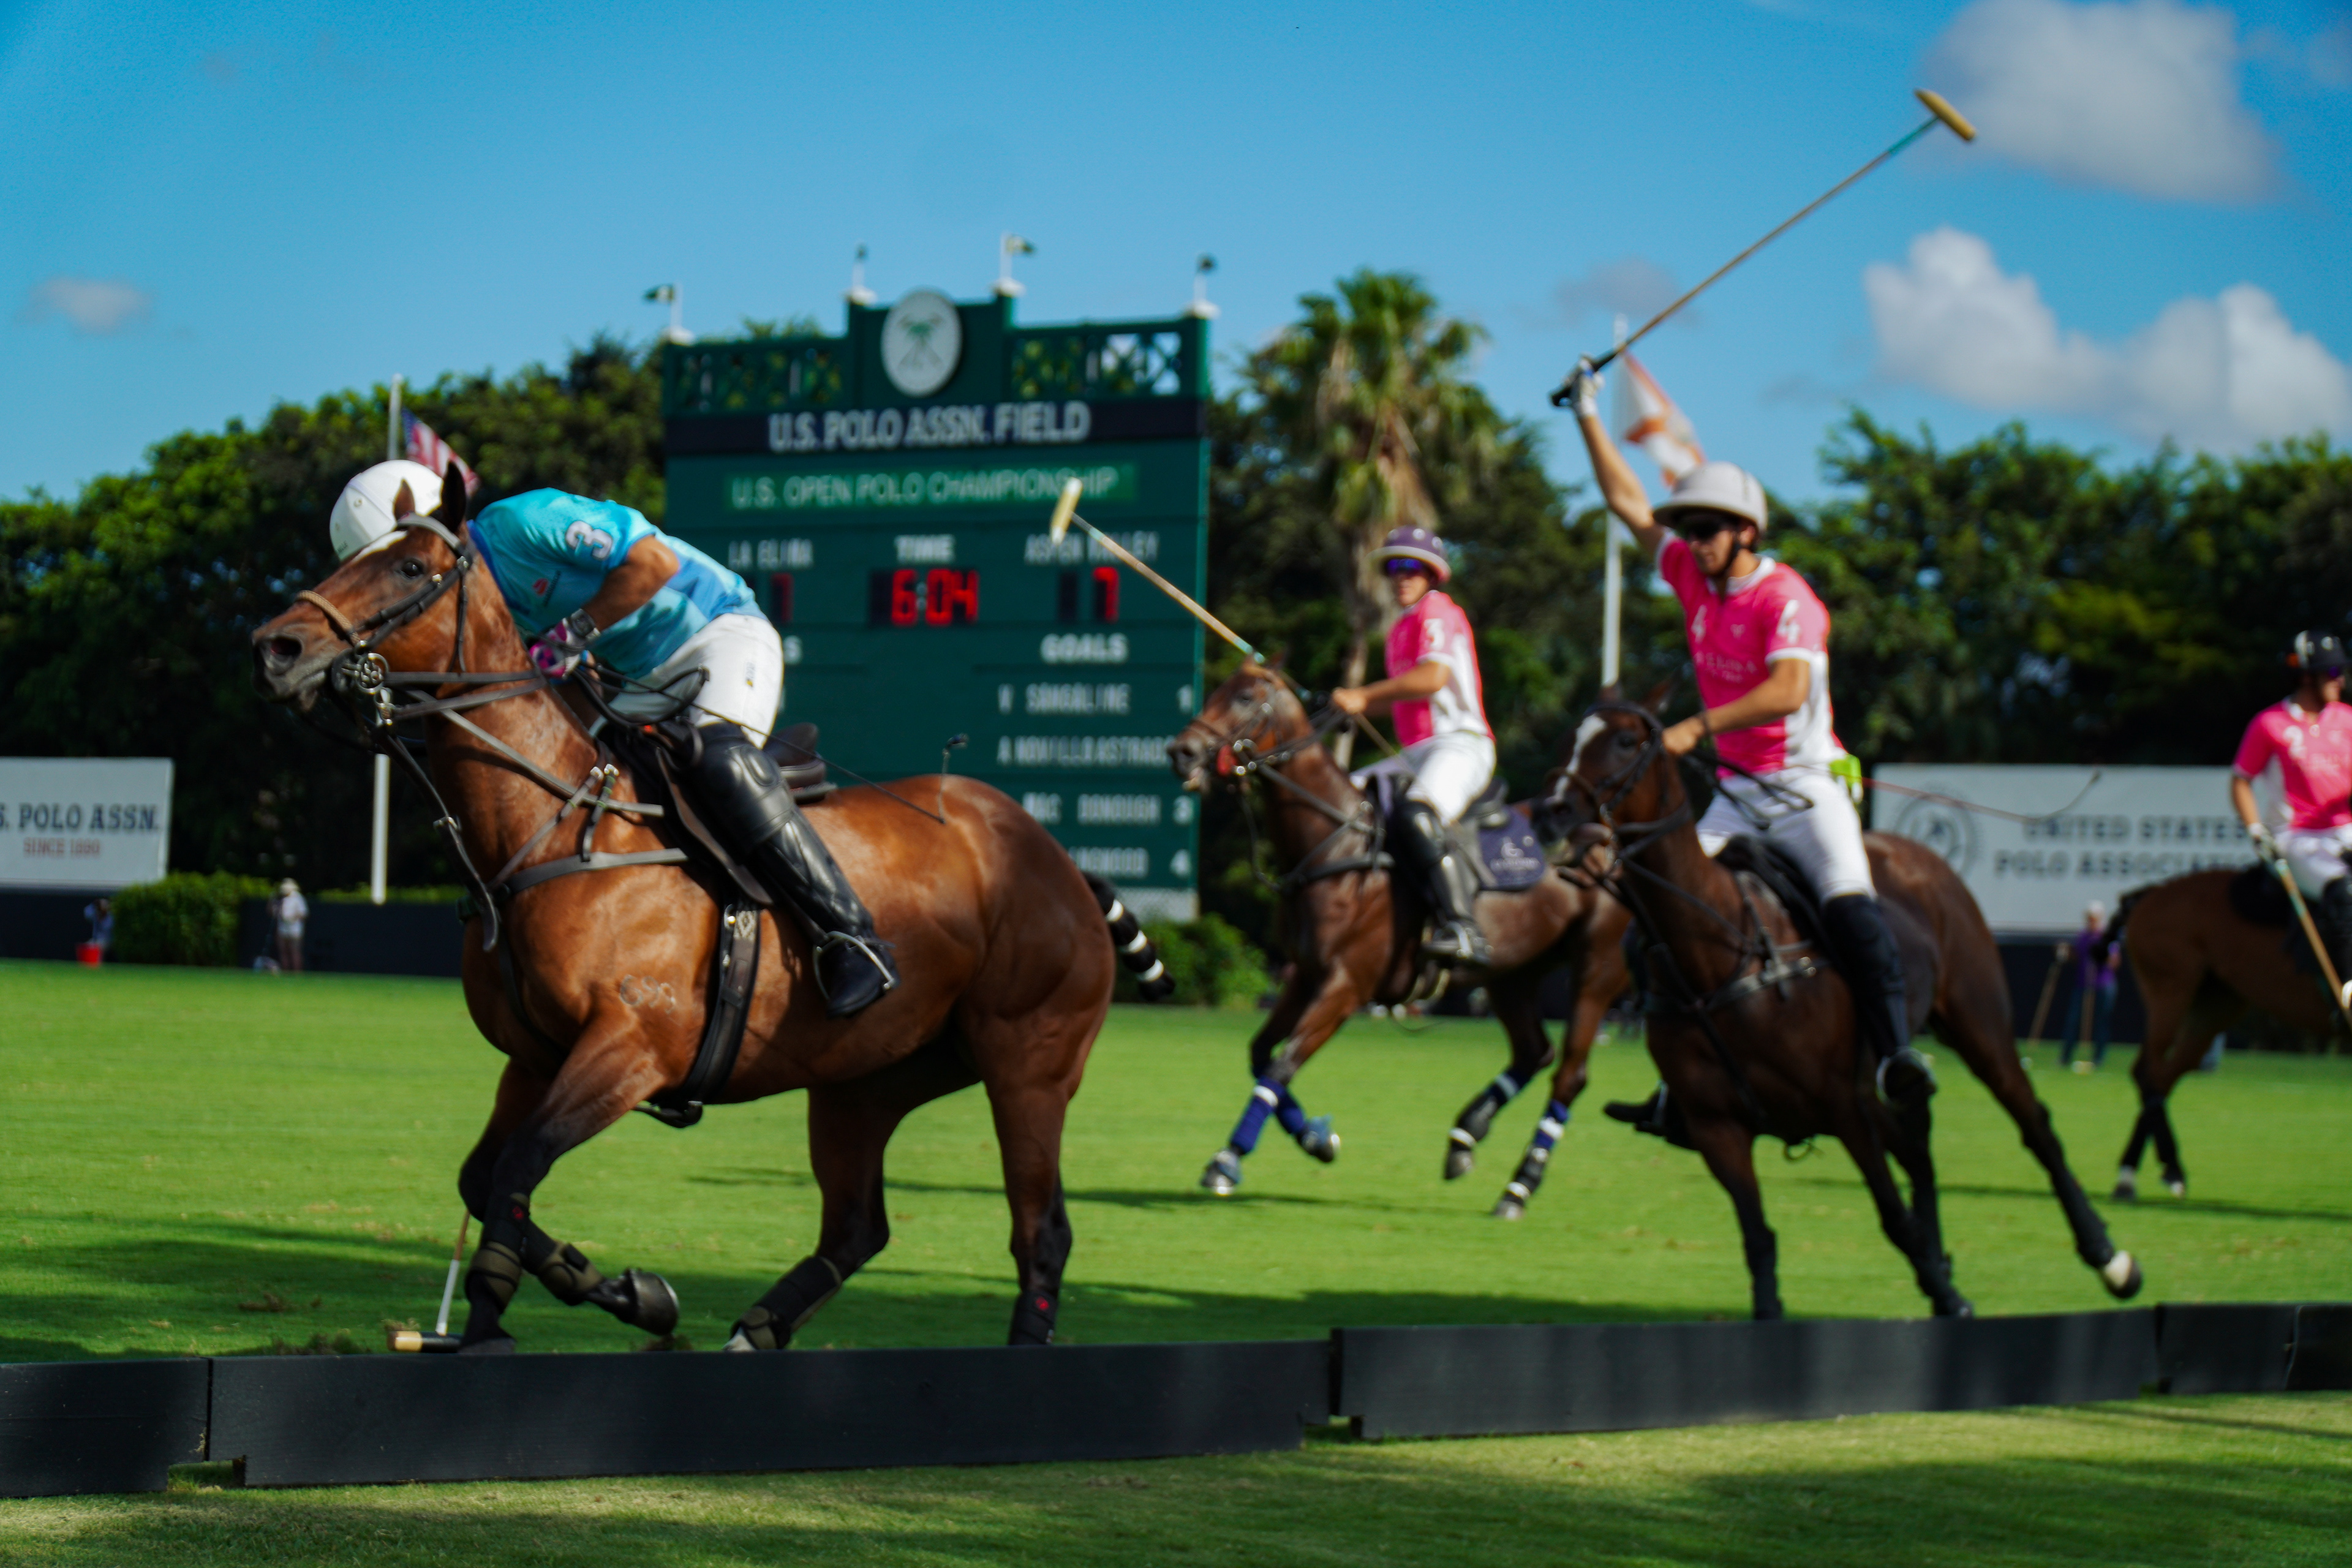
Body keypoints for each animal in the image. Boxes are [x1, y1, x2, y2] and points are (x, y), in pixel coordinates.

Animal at [250, 483, 1159, 1352]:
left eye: (408, 568)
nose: (276, 646)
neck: (555, 825)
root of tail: (1056, 855)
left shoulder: (632, 1049)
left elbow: (514, 1171)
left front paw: (494, 1324)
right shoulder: (536, 1058)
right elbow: (486, 1179)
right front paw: (632, 1294)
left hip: (1029, 1061)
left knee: (1041, 1230)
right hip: (867, 1081)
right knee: (858, 1226)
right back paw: (754, 1331)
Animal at [1166, 664, 1632, 1210]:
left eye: (1243, 697)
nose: (1181, 751)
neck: (1335, 846)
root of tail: (1611, 836)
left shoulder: (1347, 984)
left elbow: (1283, 1064)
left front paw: (1227, 1160)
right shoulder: (1305, 974)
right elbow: (1262, 1055)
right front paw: (1316, 1139)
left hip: (1597, 967)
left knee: (1570, 1074)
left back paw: (1520, 1186)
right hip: (1511, 971)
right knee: (1534, 1051)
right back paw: (1465, 1137)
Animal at [1542, 698, 2142, 1318]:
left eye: (1625, 742)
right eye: (1568, 739)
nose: (1553, 813)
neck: (1719, 952)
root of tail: (1916, 852)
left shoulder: (1845, 1105)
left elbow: (1894, 1220)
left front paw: (1950, 1294)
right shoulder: (1717, 1127)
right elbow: (1758, 1237)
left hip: (1978, 1023)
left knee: (2033, 1125)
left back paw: (2109, 1258)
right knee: (1918, 1145)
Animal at [2104, 868, 2338, 1200]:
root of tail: (2148, 893)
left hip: (2215, 1004)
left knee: (2161, 1074)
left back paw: (2159, 1169)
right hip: (2171, 989)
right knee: (2151, 1073)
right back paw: (2143, 1174)